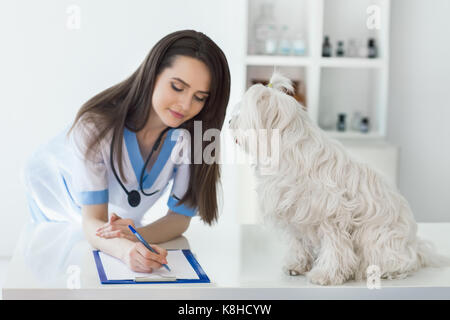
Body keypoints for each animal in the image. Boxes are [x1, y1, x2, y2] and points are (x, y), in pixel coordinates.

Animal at [230, 71, 448, 284]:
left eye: (242, 115)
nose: (230, 122)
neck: (288, 151)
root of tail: (414, 247)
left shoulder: (331, 213)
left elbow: (335, 247)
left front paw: (325, 274)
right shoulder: (295, 213)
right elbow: (298, 242)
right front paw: (297, 264)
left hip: (378, 239)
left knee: (398, 262)